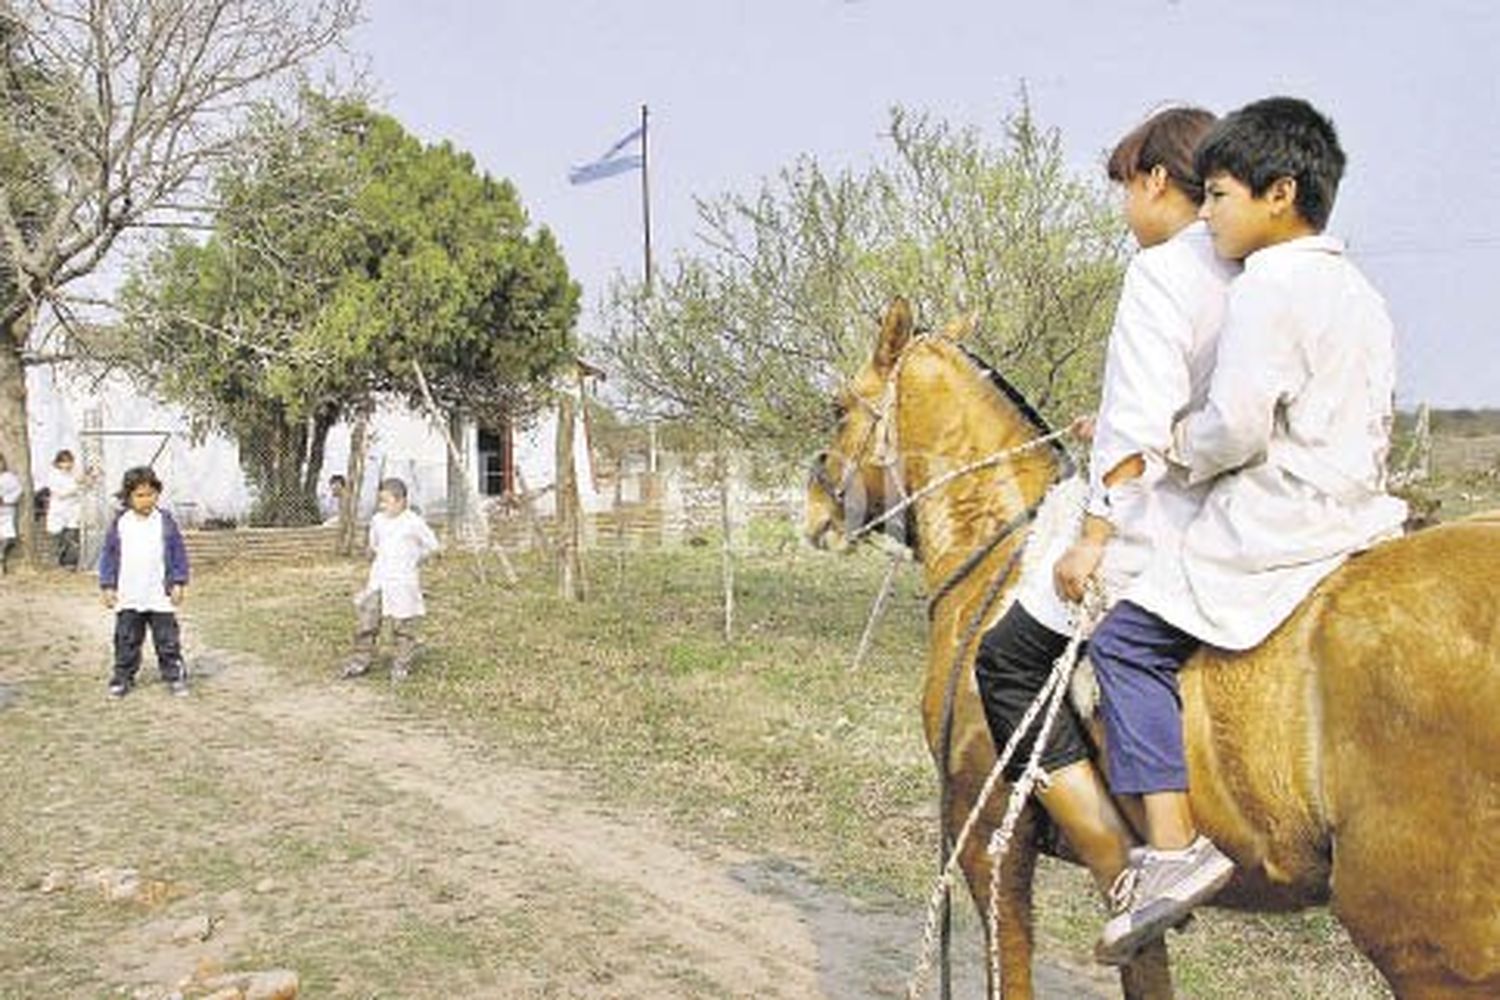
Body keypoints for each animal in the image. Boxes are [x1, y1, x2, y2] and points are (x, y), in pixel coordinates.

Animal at [810, 299, 1500, 1000]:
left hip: (1427, 947)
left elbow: (1011, 969)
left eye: (839, 408)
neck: (1005, 558)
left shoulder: (988, 832)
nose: (816, 512)